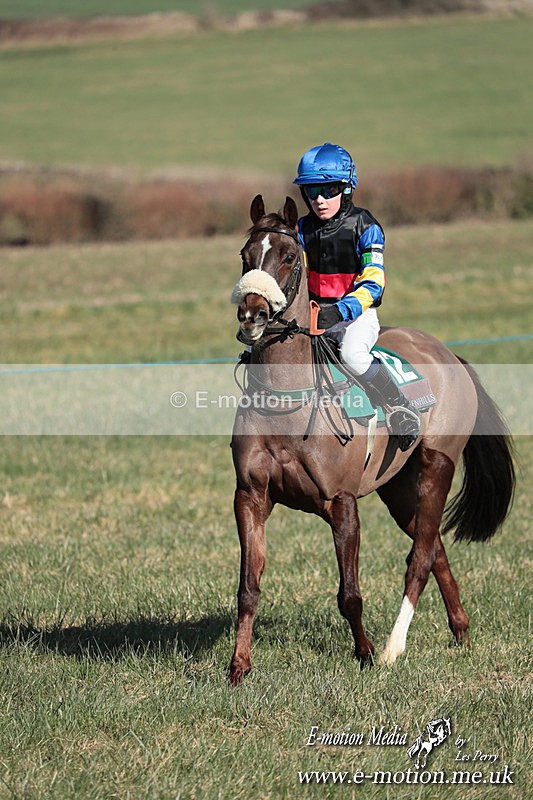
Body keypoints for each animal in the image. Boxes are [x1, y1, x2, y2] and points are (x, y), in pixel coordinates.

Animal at [228, 194, 515, 685]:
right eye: (246, 256)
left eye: (288, 256)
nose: (252, 315)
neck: (285, 403)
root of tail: (447, 351)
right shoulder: (249, 496)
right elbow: (249, 587)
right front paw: (238, 667)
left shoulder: (342, 502)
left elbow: (350, 593)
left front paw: (363, 655)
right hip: (398, 486)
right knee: (434, 547)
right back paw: (460, 631)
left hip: (437, 464)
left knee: (420, 557)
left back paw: (392, 649)